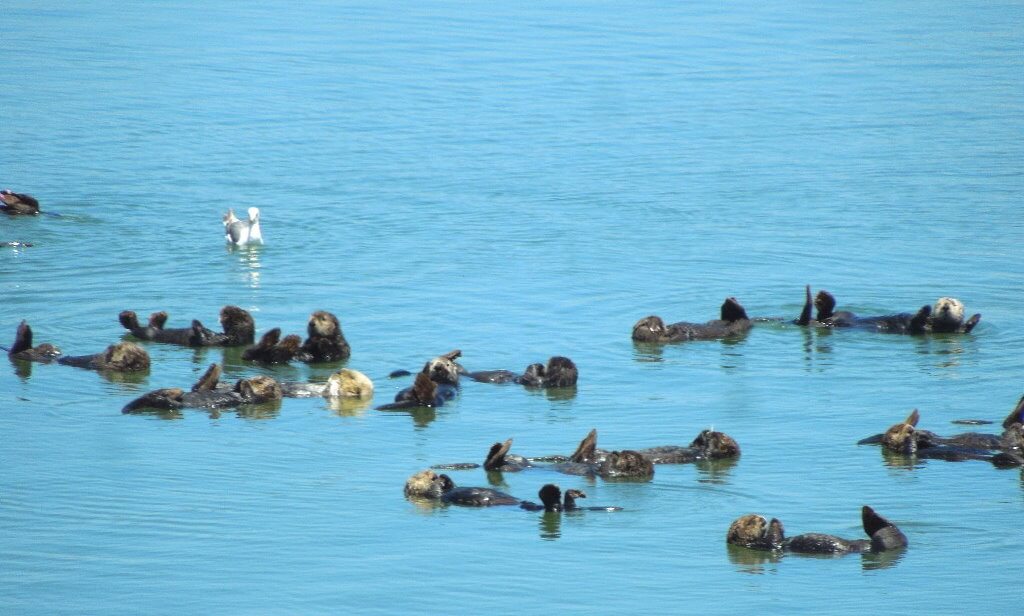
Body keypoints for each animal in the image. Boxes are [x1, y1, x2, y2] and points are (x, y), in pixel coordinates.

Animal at [119, 305, 255, 347]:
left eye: (236, 310)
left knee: (135, 327)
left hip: (145, 333)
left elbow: (204, 340)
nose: (225, 308)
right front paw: (198, 324)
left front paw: (196, 324)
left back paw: (127, 316)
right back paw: (159, 315)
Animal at [727, 506, 907, 555]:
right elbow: (774, 539)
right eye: (751, 521)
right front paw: (775, 522)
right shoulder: (765, 545)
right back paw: (870, 514)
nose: (763, 519)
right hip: (883, 542)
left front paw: (776, 520)